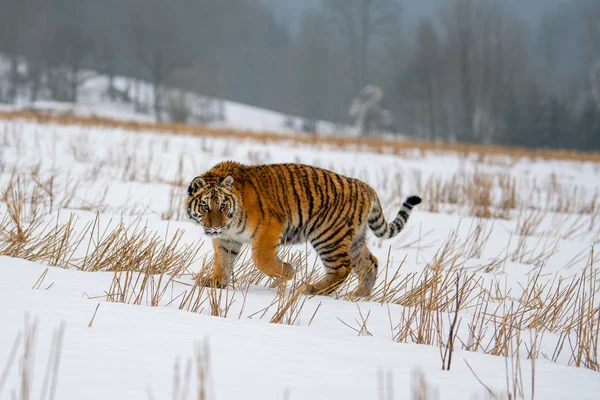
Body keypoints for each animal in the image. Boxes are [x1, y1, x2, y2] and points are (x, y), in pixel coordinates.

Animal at [184, 160, 422, 296]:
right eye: (205, 206)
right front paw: (216, 283)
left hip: (328, 236)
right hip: (354, 240)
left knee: (342, 268)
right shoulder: (227, 239)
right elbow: (223, 261)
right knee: (370, 263)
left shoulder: (269, 226)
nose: (217, 225)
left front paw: (287, 272)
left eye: (223, 205)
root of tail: (366, 187)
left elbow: (261, 259)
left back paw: (311, 288)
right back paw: (358, 296)